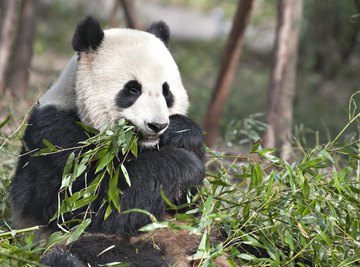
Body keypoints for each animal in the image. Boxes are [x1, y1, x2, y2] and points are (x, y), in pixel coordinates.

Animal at [9, 16, 210, 266]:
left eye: (166, 91)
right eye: (132, 89)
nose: (157, 126)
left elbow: (188, 205)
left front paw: (181, 132)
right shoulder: (56, 137)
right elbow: (87, 203)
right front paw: (183, 163)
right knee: (109, 252)